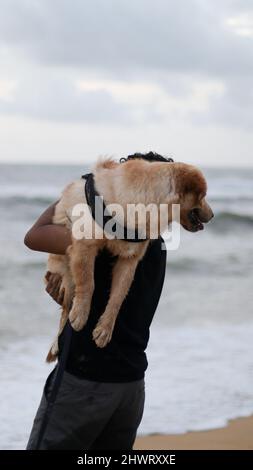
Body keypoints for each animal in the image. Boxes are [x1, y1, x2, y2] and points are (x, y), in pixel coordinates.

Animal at [45, 156, 213, 362]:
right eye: (203, 196)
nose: (213, 215)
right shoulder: (85, 245)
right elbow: (88, 283)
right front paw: (81, 313)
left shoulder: (129, 259)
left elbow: (118, 297)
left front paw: (105, 328)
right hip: (65, 274)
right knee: (65, 308)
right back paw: (56, 344)